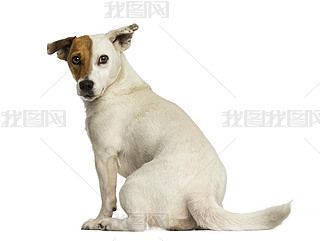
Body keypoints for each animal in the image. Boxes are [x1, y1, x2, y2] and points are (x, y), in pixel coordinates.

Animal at [47, 23, 290, 231]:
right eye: (75, 59)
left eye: (103, 59)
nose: (85, 85)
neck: (117, 88)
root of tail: (200, 194)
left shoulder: (103, 156)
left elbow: (107, 195)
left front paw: (98, 219)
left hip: (132, 184)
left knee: (138, 224)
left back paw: (109, 224)